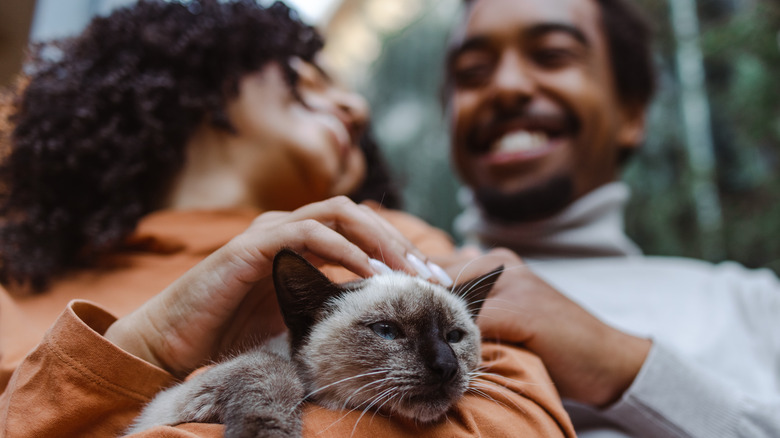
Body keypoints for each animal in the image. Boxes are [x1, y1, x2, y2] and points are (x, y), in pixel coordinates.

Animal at [126, 250, 506, 438]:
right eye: (387, 331)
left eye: (454, 337)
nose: (447, 366)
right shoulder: (167, 406)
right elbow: (270, 368)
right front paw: (265, 434)